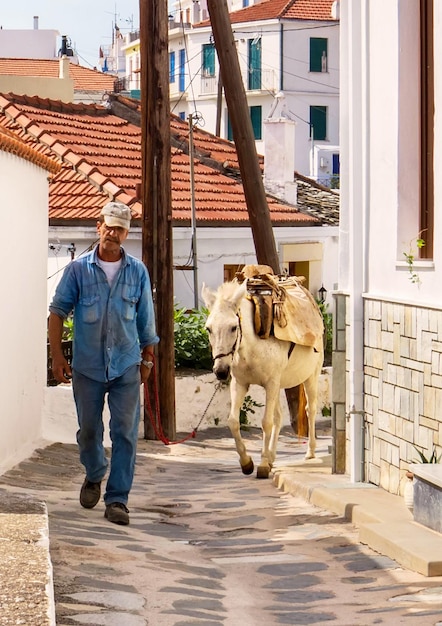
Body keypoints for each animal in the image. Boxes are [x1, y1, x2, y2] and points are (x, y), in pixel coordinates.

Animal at [202, 278, 322, 478]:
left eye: (233, 327)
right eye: (208, 328)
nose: (220, 371)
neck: (250, 347)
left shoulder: (271, 384)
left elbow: (266, 422)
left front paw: (264, 464)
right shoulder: (240, 384)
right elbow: (233, 421)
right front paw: (247, 462)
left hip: (311, 376)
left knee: (310, 410)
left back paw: (310, 452)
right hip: (279, 385)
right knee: (279, 417)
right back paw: (273, 455)